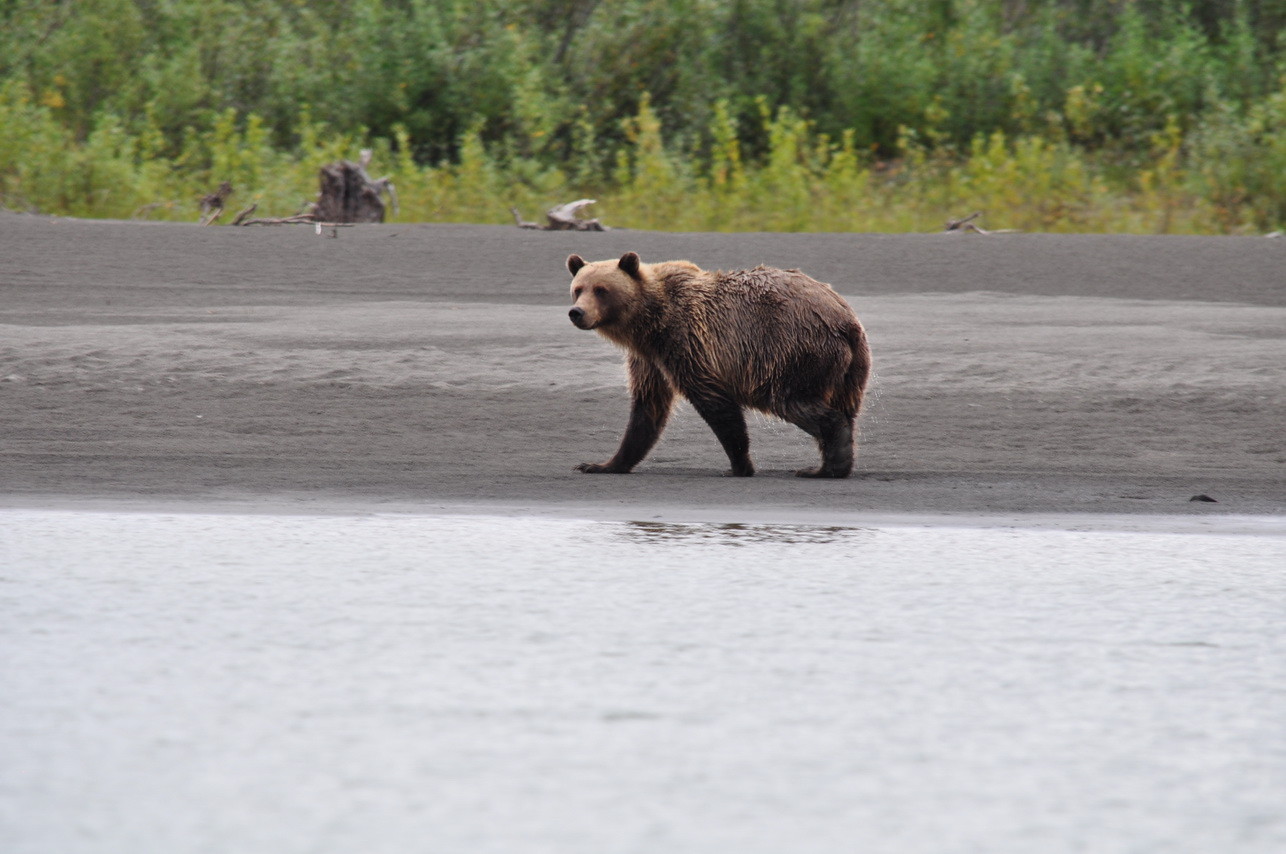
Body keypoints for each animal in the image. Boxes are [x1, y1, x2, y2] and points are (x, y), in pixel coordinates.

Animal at [565, 252, 874, 481]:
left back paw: (822, 467)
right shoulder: (648, 359)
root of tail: (845, 319)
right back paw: (832, 463)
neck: (649, 321)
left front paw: (739, 465)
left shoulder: (687, 340)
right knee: (844, 406)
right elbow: (647, 409)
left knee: (792, 400)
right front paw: (602, 464)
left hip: (793, 351)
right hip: (852, 370)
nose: (577, 312)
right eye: (578, 289)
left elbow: (714, 402)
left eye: (601, 290)